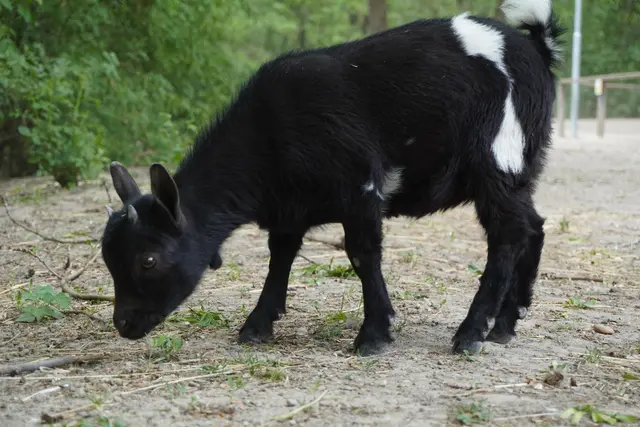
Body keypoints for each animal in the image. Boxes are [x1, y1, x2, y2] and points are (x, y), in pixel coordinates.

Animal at [101, 0, 564, 355]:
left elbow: (361, 254)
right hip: (520, 166)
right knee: (534, 227)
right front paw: (257, 325)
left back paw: (471, 333)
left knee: (507, 235)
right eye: (108, 259)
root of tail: (534, 46)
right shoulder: (289, 207)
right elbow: (280, 256)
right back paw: (505, 324)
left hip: (498, 156)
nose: (123, 325)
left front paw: (374, 336)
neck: (271, 129)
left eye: (148, 260)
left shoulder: (360, 186)